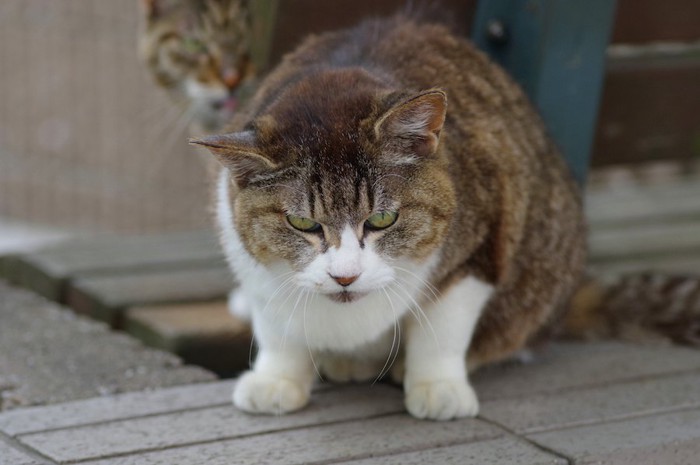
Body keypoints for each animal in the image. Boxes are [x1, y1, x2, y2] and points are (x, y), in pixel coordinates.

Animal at [190, 15, 584, 420]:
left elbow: (444, 328)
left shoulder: (482, 243)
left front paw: (438, 385)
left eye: (382, 219)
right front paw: (276, 378)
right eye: (303, 224)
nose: (345, 277)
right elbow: (276, 325)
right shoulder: (249, 258)